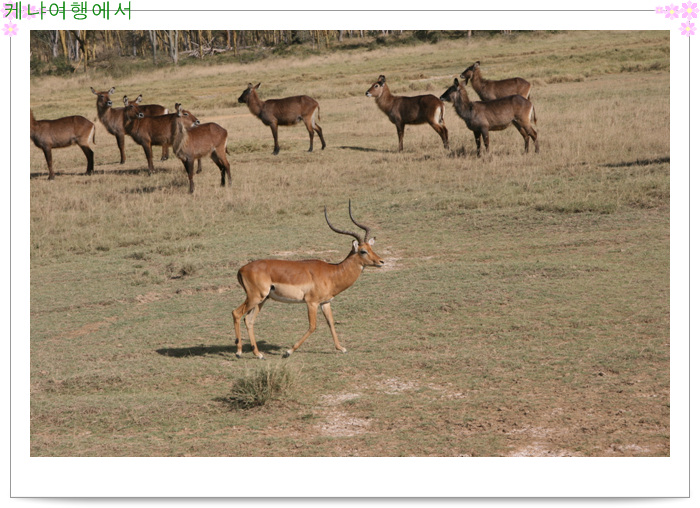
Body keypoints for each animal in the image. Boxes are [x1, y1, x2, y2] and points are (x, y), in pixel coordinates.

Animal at [231, 200, 386, 360]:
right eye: (363, 251)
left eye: (371, 248)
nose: (381, 261)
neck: (332, 273)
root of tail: (242, 269)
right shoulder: (312, 303)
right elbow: (313, 326)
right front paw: (288, 352)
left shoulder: (325, 303)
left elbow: (331, 323)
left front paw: (342, 348)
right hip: (255, 297)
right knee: (236, 313)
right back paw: (239, 352)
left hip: (262, 299)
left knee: (249, 320)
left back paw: (258, 354)